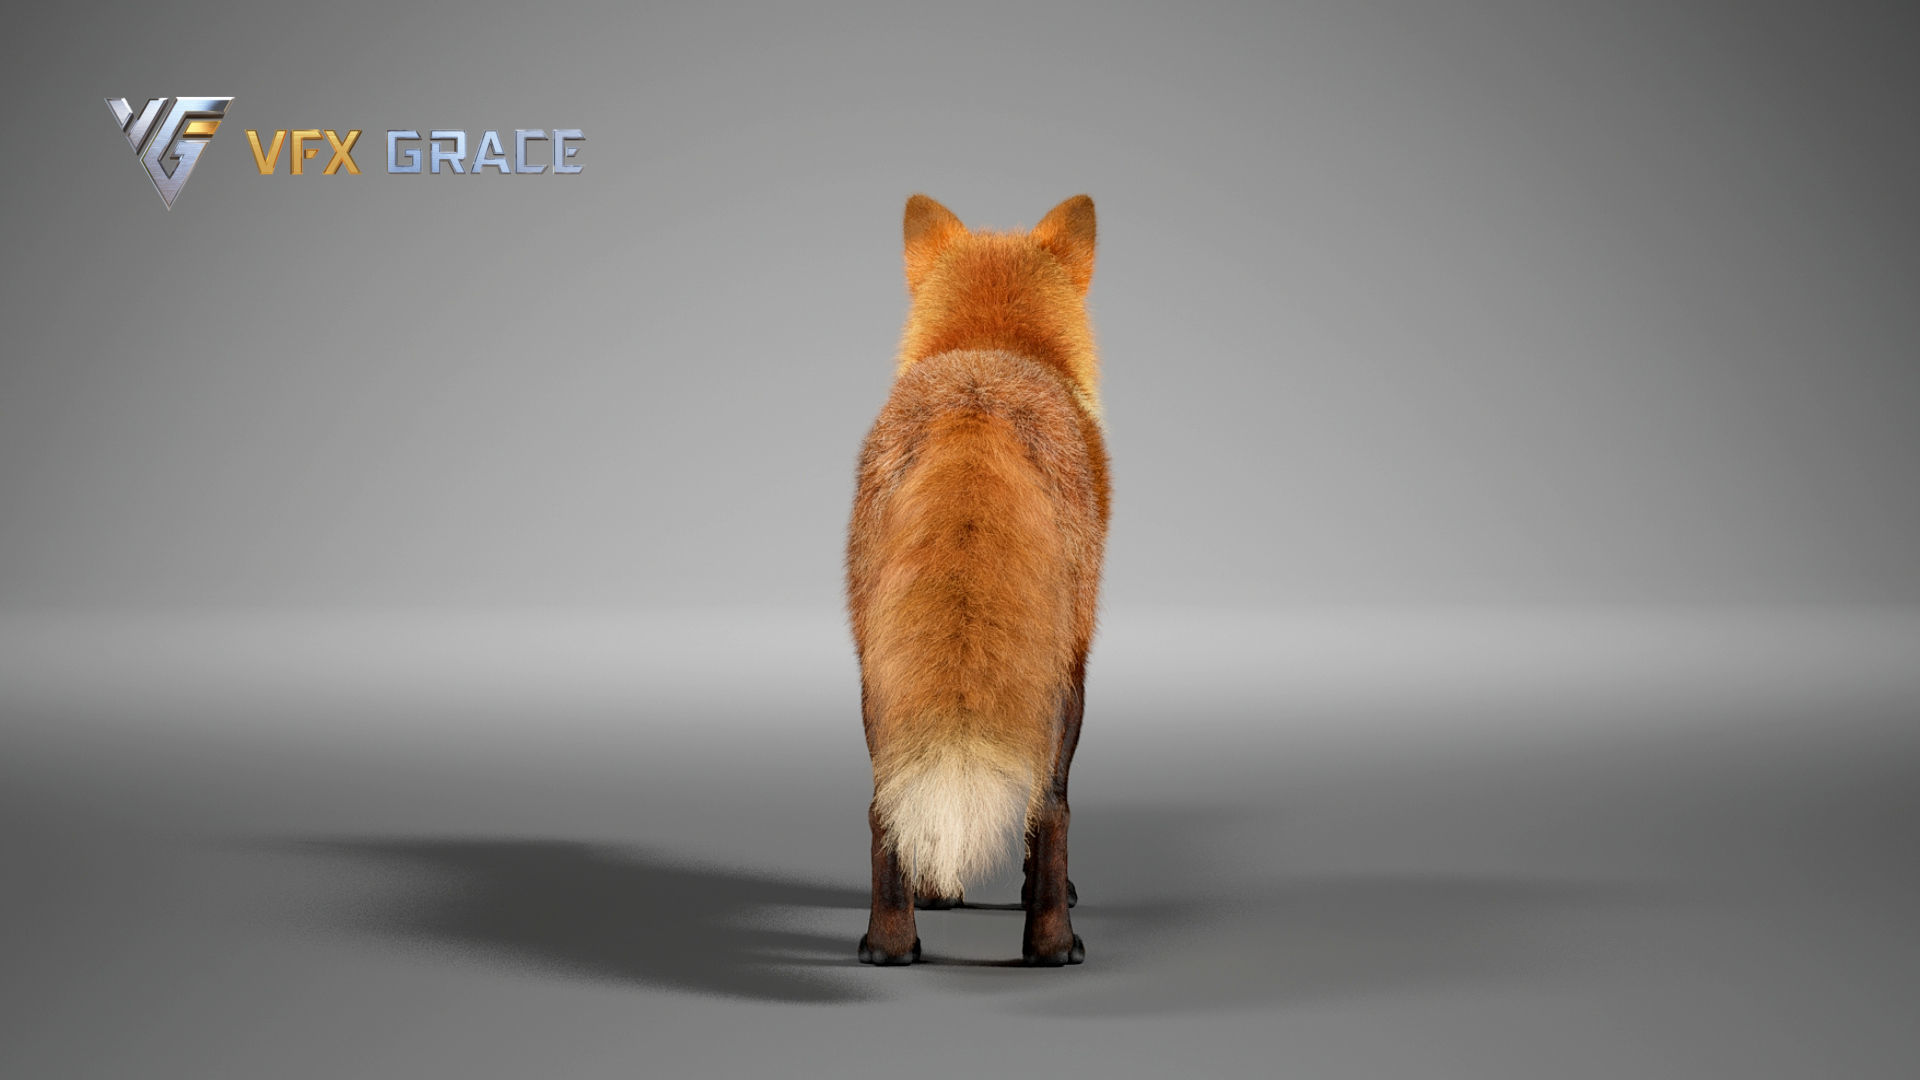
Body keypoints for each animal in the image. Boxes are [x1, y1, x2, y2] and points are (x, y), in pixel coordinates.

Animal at [847, 194, 1110, 967]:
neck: (993, 344)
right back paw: (1053, 944)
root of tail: (976, 395)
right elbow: (1045, 806)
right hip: (1057, 676)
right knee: (1050, 808)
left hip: (881, 672)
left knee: (885, 804)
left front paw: (939, 888)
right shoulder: (1078, 656)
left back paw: (890, 943)